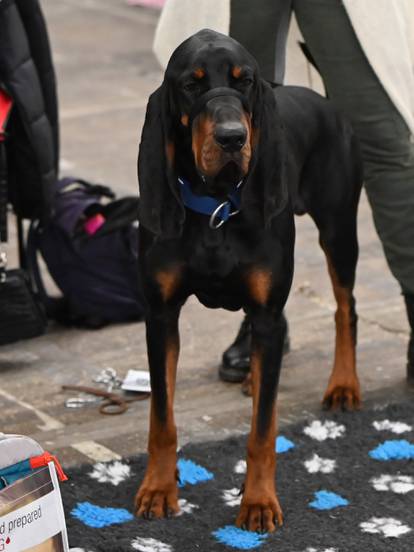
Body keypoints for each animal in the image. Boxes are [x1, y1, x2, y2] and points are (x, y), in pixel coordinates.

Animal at [136, 29, 362, 532]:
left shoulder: (266, 310)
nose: (232, 138)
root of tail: (325, 101)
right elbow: (162, 415)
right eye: (192, 84)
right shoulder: (160, 314)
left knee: (346, 309)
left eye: (245, 81)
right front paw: (159, 488)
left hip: (339, 230)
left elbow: (262, 431)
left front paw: (258, 502)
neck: (216, 205)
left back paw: (343, 385)